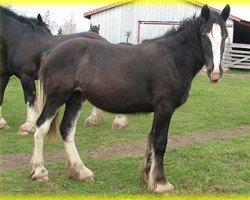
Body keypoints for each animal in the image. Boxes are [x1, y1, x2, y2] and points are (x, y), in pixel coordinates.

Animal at [0, 6, 106, 134]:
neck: (18, 40)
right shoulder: (4, 75)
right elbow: (1, 96)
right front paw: (2, 123)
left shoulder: (26, 76)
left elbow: (29, 99)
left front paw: (28, 126)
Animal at [30, 5, 230, 195]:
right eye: (204, 35)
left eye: (225, 35)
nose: (215, 73)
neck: (173, 59)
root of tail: (51, 52)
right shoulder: (165, 107)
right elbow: (160, 141)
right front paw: (161, 183)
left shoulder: (158, 109)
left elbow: (151, 138)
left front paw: (147, 176)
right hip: (56, 98)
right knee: (41, 127)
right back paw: (39, 171)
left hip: (76, 98)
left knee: (67, 129)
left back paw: (81, 172)